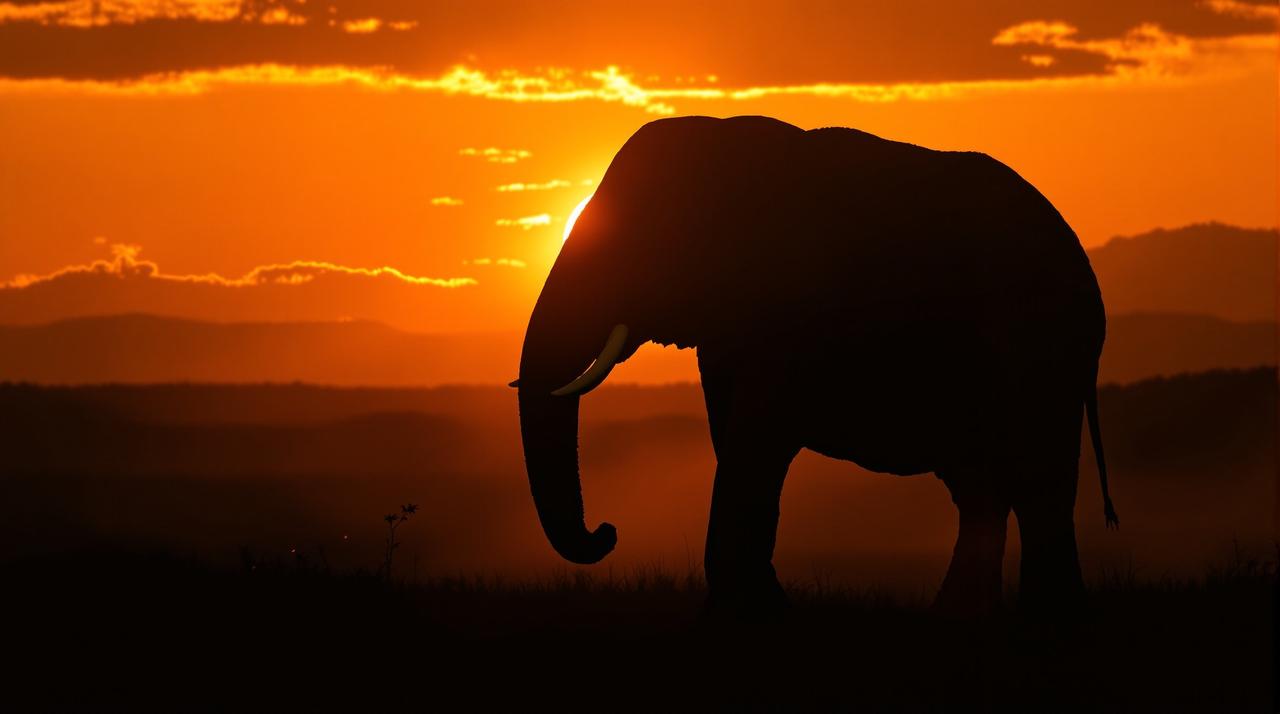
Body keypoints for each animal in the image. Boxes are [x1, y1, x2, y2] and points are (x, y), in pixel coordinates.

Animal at [516, 115, 1117, 617]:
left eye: (638, 244)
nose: (607, 531)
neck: (727, 146)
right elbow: (731, 433)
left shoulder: (796, 312)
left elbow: (756, 438)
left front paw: (752, 612)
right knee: (984, 488)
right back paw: (961, 616)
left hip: (1042, 343)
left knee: (1036, 479)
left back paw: (1044, 617)